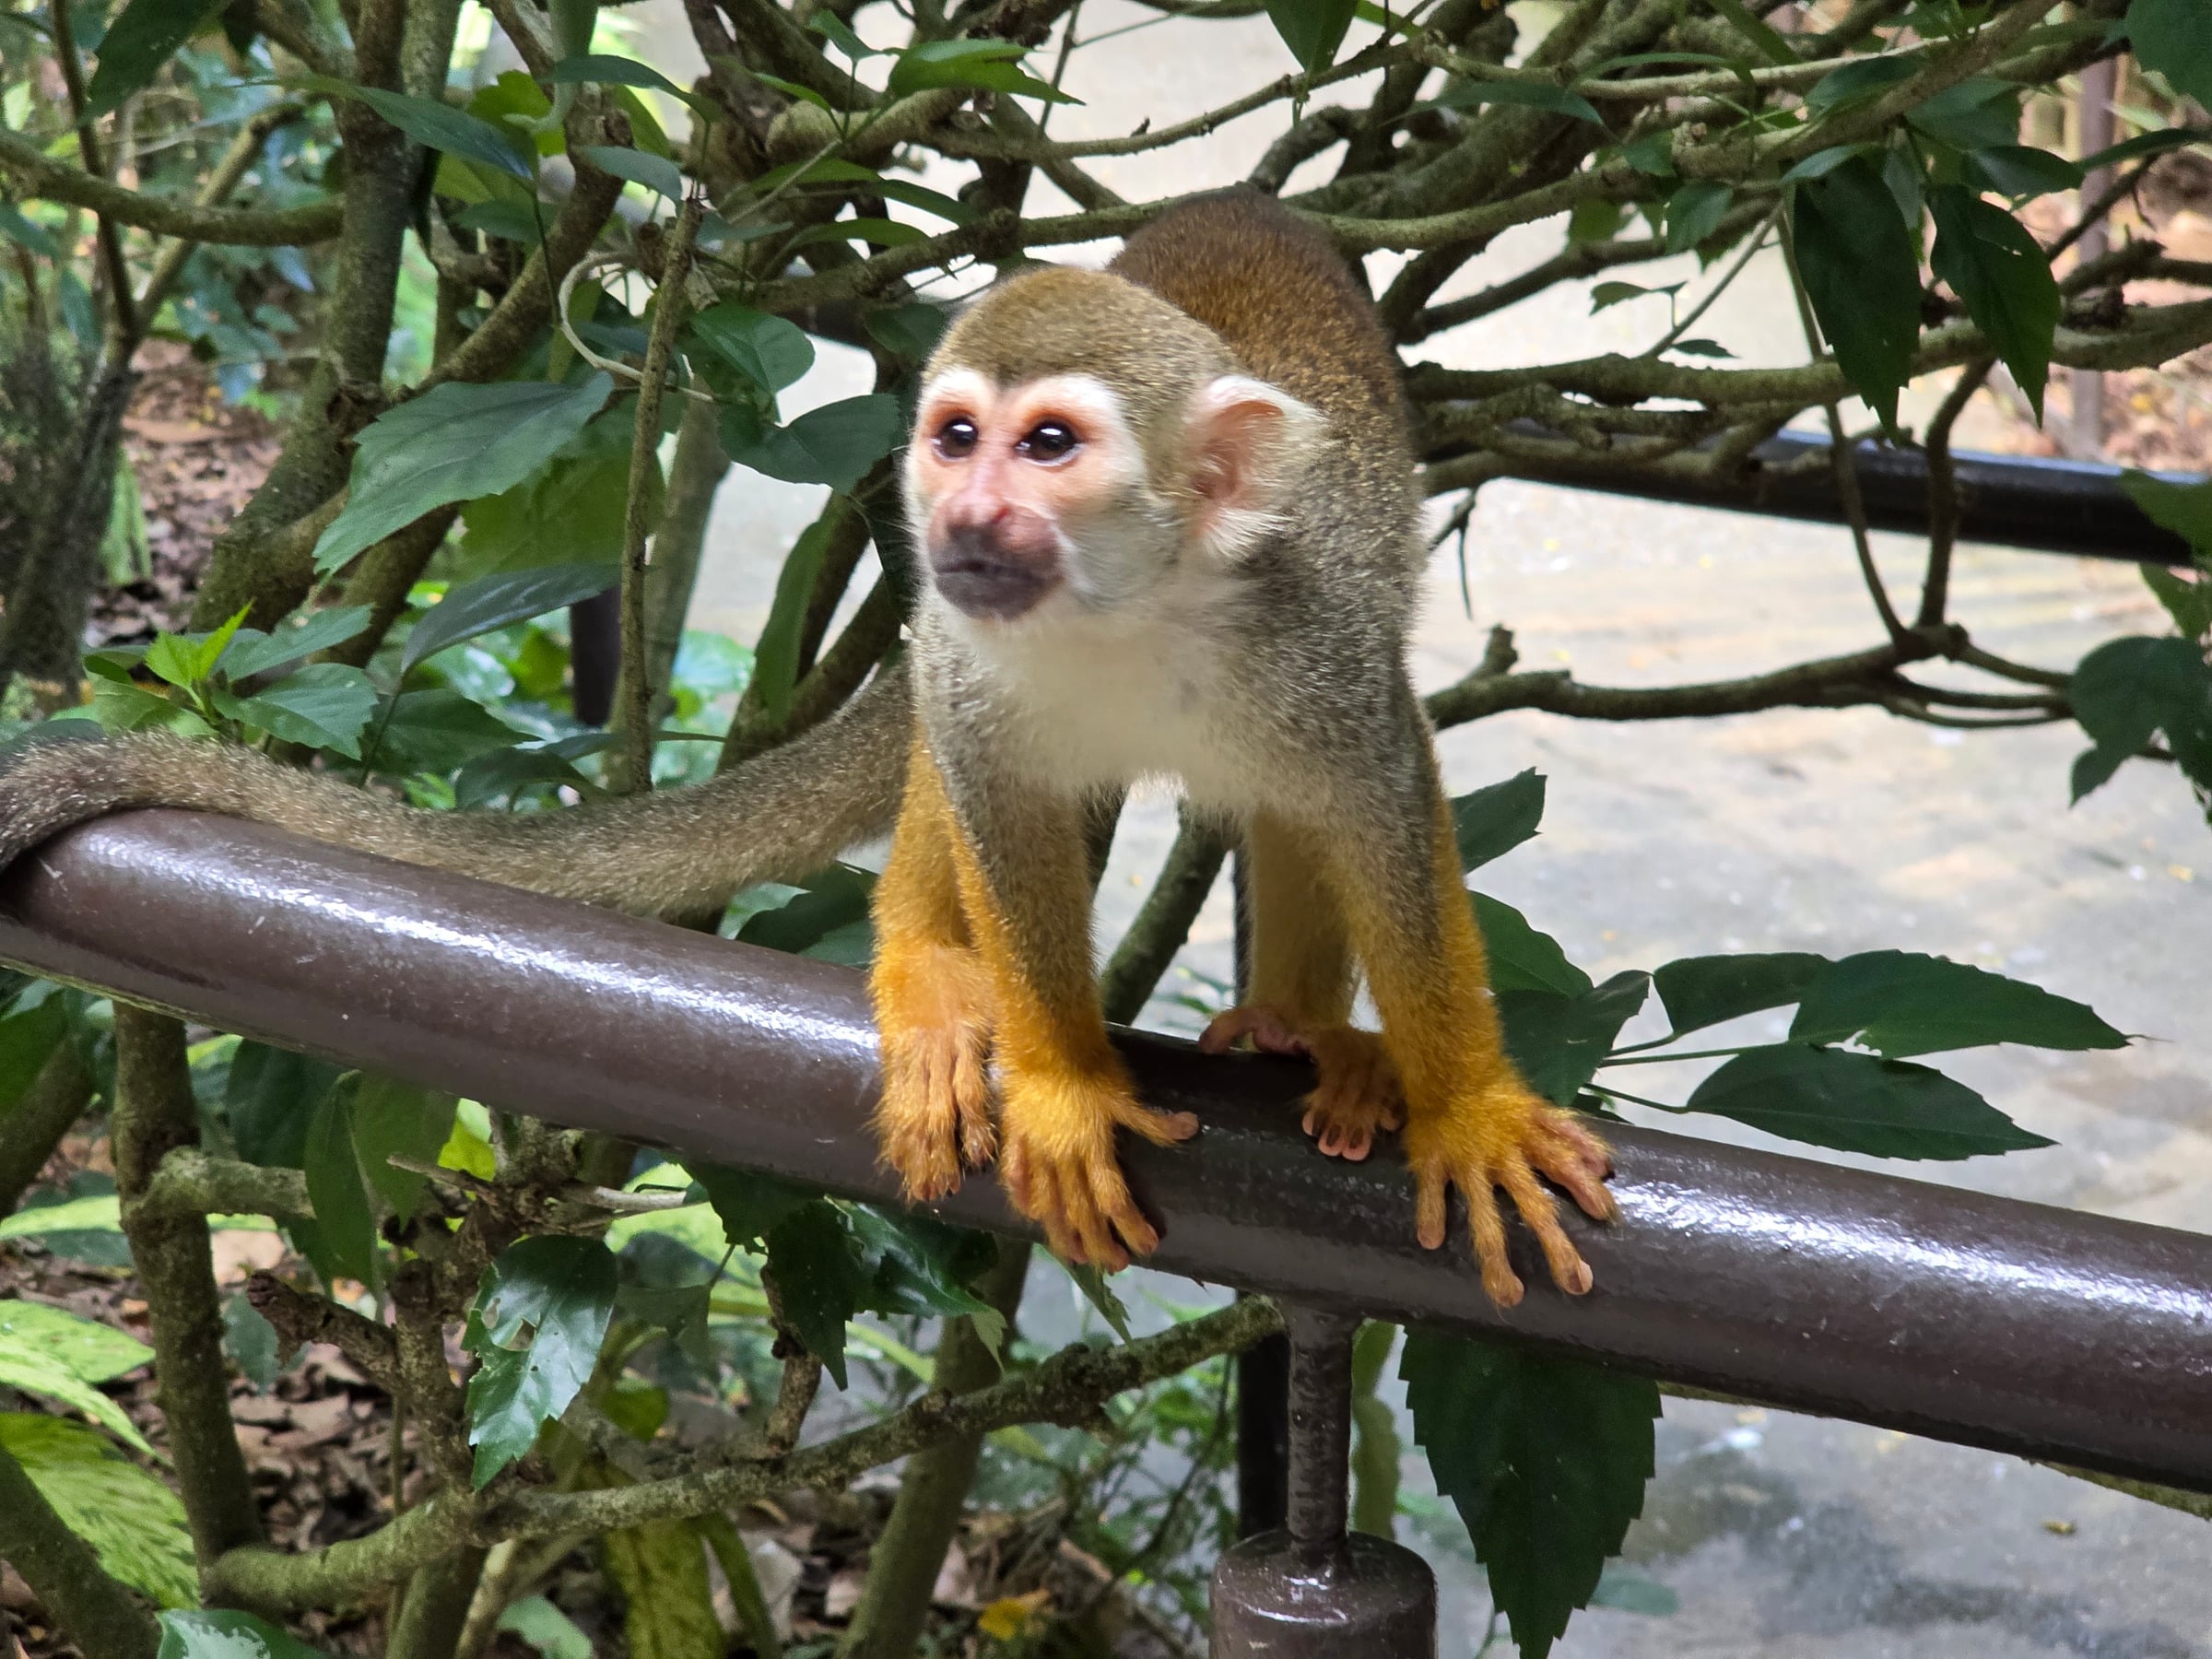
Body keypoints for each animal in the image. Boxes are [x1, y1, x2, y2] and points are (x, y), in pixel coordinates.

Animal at [0, 188, 1612, 1305]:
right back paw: (929, 966)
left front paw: (1465, 1106)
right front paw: (1061, 1077)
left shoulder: (1316, 634)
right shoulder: (966, 649)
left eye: (1048, 448)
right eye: (957, 437)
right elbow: (991, 791)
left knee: (1284, 809)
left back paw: (1301, 1033)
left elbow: (1379, 797)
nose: (962, 517)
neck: (1136, 608)